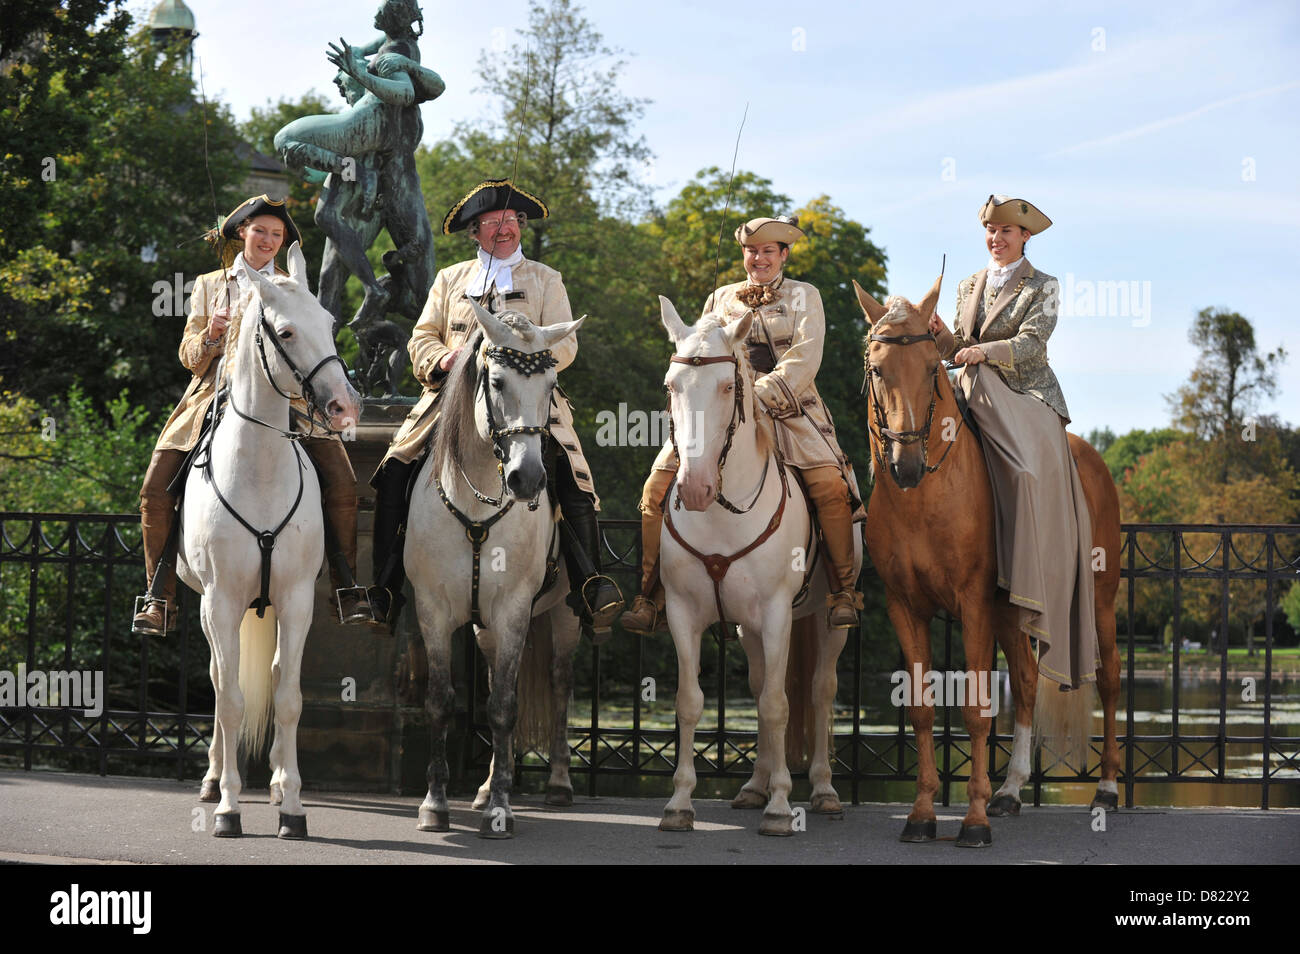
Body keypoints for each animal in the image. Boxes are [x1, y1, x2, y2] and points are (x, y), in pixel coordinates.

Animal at [175, 243, 361, 842]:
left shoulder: (297, 599)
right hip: (209, 608)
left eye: (330, 324)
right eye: (285, 332)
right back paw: (214, 780)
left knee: (277, 675)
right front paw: (229, 807)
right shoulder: (221, 600)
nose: (346, 408)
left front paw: (293, 805)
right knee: (218, 680)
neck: (257, 470)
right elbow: (231, 699)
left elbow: (289, 696)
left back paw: (278, 781)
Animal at [408, 302, 587, 842]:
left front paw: (501, 812)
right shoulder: (433, 610)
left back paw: (558, 784)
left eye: (552, 385)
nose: (527, 478)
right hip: (484, 628)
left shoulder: (513, 611)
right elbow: (442, 701)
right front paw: (435, 803)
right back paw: (486, 786)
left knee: (558, 681)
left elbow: (506, 707)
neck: (478, 503)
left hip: (564, 616)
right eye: (498, 381)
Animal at [655, 297, 857, 837]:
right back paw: (755, 785)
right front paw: (679, 802)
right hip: (748, 628)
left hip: (827, 622)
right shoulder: (683, 613)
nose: (695, 487)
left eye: (728, 386)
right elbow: (690, 701)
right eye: (671, 385)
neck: (721, 514)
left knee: (820, 691)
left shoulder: (777, 613)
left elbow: (777, 704)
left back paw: (824, 790)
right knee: (761, 681)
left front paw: (782, 806)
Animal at [852, 272, 1118, 847]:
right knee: (1026, 680)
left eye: (932, 369)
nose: (906, 464)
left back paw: (1107, 787)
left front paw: (972, 820)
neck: (924, 498)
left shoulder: (972, 603)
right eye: (878, 370)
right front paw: (923, 814)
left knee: (1108, 680)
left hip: (1099, 603)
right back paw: (1011, 790)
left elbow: (976, 711)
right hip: (1012, 609)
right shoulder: (906, 607)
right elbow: (924, 710)